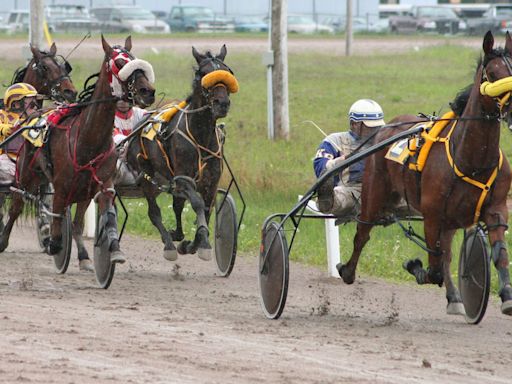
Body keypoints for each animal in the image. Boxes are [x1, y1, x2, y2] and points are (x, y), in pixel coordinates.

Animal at [0, 37, 156, 268]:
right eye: (119, 63)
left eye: (135, 59)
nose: (148, 91)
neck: (88, 139)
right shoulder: (62, 185)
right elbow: (56, 215)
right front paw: (55, 244)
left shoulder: (99, 184)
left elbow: (87, 220)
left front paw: (105, 251)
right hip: (26, 175)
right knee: (16, 206)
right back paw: (4, 240)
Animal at [122, 44, 238, 260]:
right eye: (203, 74)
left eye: (227, 73)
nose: (222, 103)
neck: (200, 137)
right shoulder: (184, 179)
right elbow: (198, 204)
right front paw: (202, 244)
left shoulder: (211, 181)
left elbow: (207, 210)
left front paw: (193, 243)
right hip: (146, 176)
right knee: (154, 212)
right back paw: (169, 243)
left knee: (176, 205)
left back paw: (177, 235)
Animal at [338, 31, 512, 316]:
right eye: (493, 73)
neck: (471, 158)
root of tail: (387, 127)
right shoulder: (432, 214)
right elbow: (433, 267)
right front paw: (414, 266)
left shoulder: (496, 208)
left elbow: (498, 254)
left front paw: (506, 296)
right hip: (374, 194)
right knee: (362, 233)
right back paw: (347, 271)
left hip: (450, 218)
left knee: (447, 254)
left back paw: (454, 297)